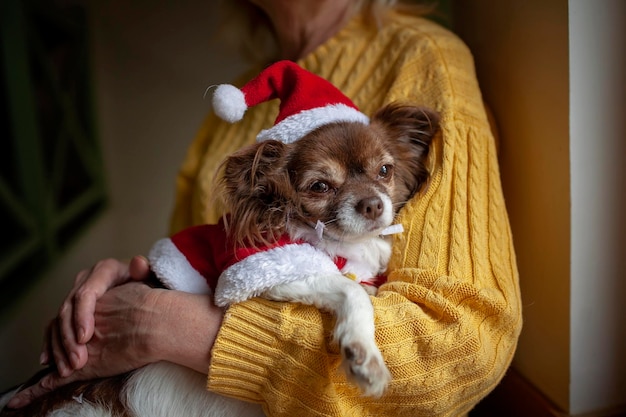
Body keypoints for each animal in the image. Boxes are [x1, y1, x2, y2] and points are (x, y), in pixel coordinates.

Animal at [1, 101, 438, 416]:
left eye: (385, 171)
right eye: (319, 186)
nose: (372, 205)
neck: (341, 245)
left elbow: (362, 286)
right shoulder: (269, 270)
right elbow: (353, 293)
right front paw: (362, 356)